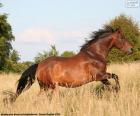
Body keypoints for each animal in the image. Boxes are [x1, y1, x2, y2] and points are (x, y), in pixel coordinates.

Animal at [5, 26, 133, 102]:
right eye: (122, 38)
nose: (131, 49)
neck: (95, 54)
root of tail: (39, 65)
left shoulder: (102, 78)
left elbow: (111, 85)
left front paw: (116, 93)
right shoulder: (99, 76)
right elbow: (116, 77)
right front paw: (118, 91)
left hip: (45, 87)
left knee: (38, 99)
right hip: (52, 86)